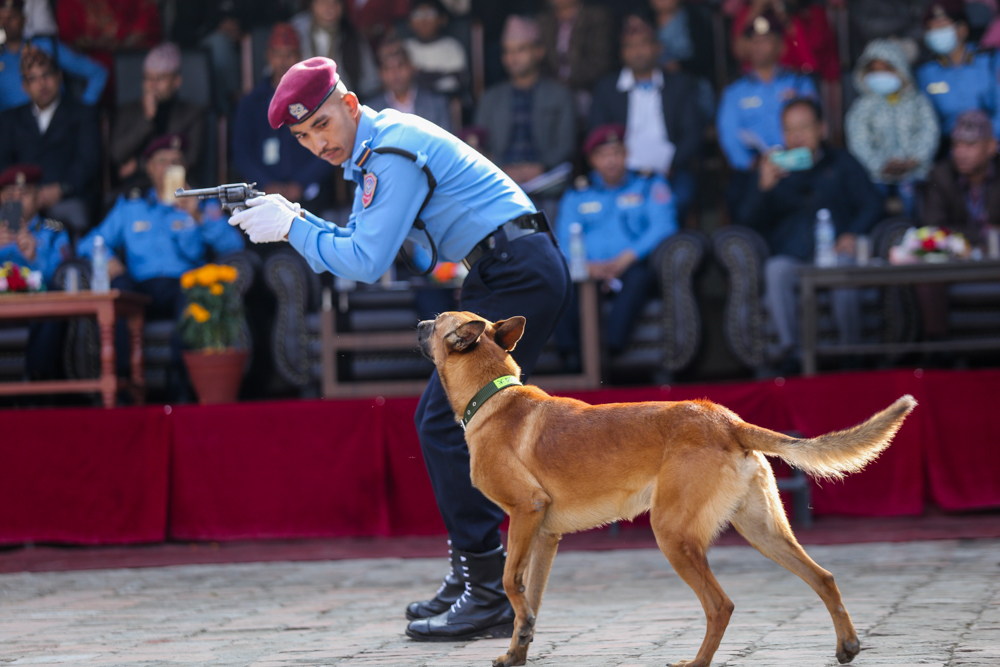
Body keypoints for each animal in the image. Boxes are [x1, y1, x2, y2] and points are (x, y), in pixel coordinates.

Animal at [418, 314, 916, 667]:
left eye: (437, 319)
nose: (419, 324)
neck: (494, 396)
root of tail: (725, 419)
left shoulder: (526, 512)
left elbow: (509, 582)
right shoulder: (545, 534)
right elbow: (530, 603)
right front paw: (516, 651)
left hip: (673, 535)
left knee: (720, 605)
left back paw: (696, 663)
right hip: (764, 531)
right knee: (823, 578)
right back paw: (847, 645)